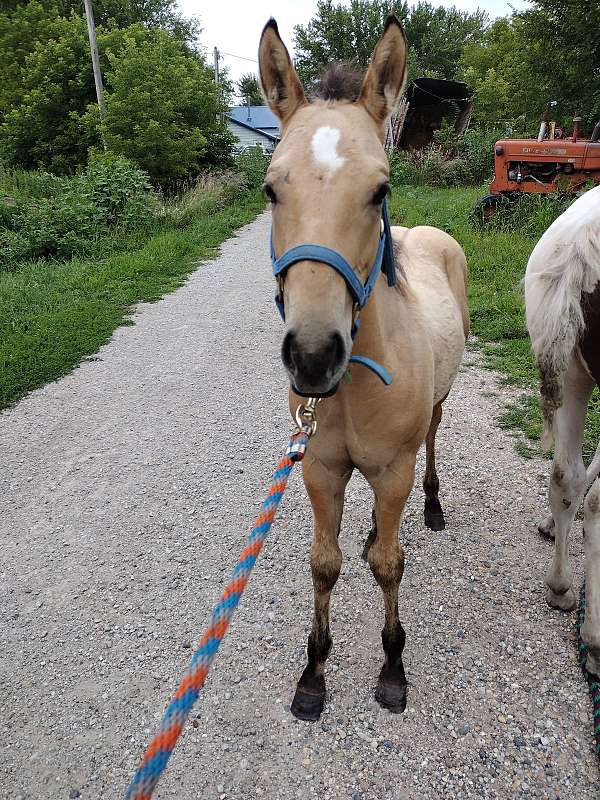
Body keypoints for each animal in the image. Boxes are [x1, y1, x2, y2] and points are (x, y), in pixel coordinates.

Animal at [260, 17, 472, 720]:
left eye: (380, 188)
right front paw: (313, 673)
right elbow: (325, 564)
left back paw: (431, 505)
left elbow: (388, 567)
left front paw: (393, 665)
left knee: (431, 441)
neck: (353, 388)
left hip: (432, 416)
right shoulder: (322, 469)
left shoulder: (390, 469)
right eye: (270, 188)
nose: (313, 356)